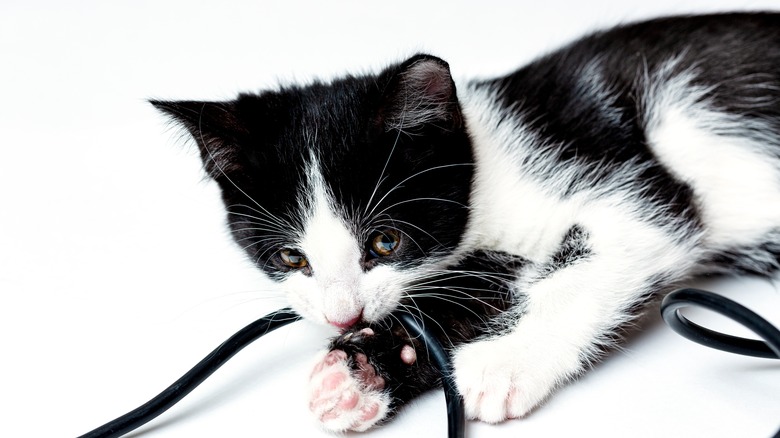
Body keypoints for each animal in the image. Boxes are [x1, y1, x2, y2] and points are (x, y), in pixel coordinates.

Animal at [151, 12, 780, 432]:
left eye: (385, 241)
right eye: (290, 258)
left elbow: (592, 258)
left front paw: (506, 363)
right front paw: (363, 372)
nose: (343, 315)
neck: (489, 168)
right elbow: (464, 290)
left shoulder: (634, 187)